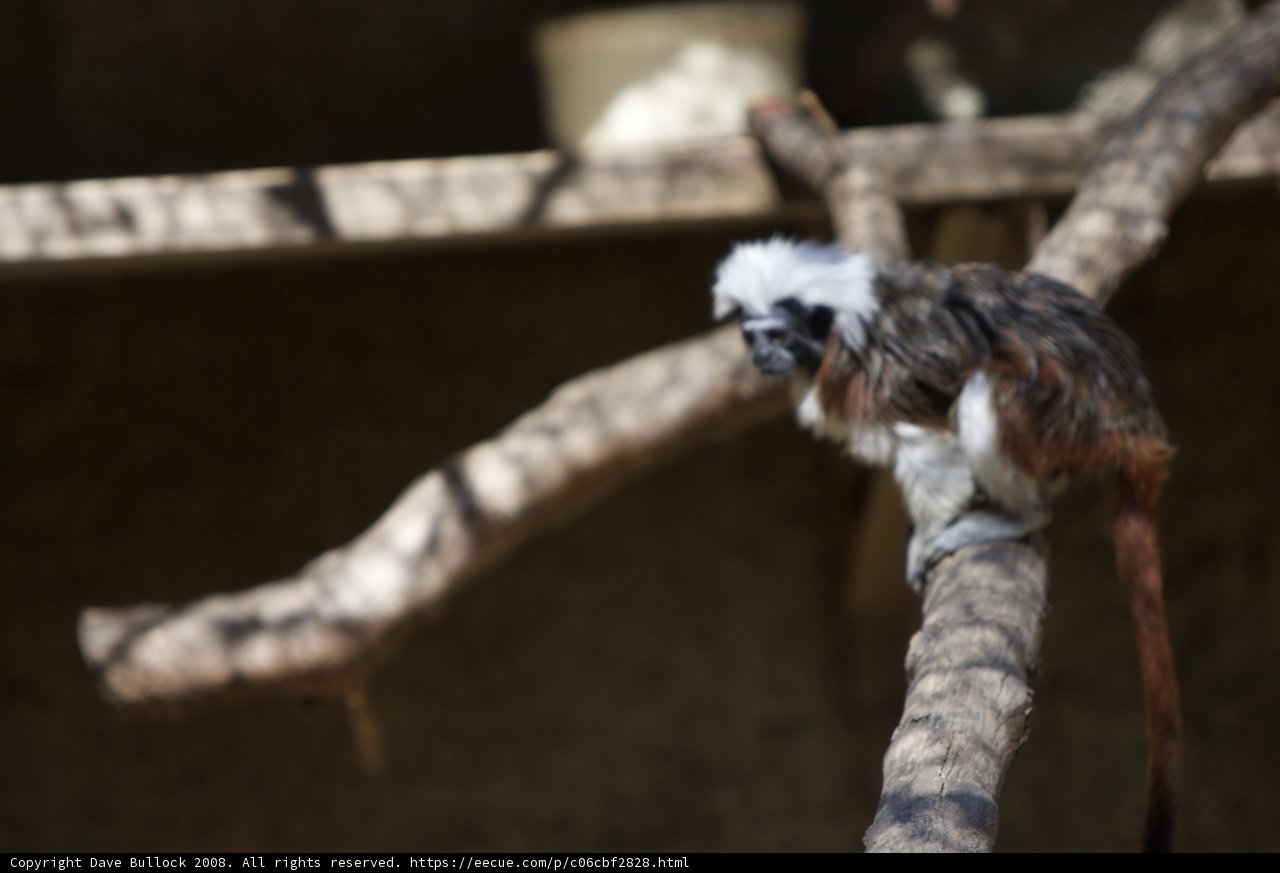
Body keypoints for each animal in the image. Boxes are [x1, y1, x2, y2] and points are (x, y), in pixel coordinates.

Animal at [713, 237, 1180, 853]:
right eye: (753, 336)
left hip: (1068, 419)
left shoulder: (889, 379)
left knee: (988, 392)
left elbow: (927, 447)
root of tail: (1134, 423)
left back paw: (1012, 515)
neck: (843, 325)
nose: (764, 358)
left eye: (780, 336)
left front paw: (930, 533)